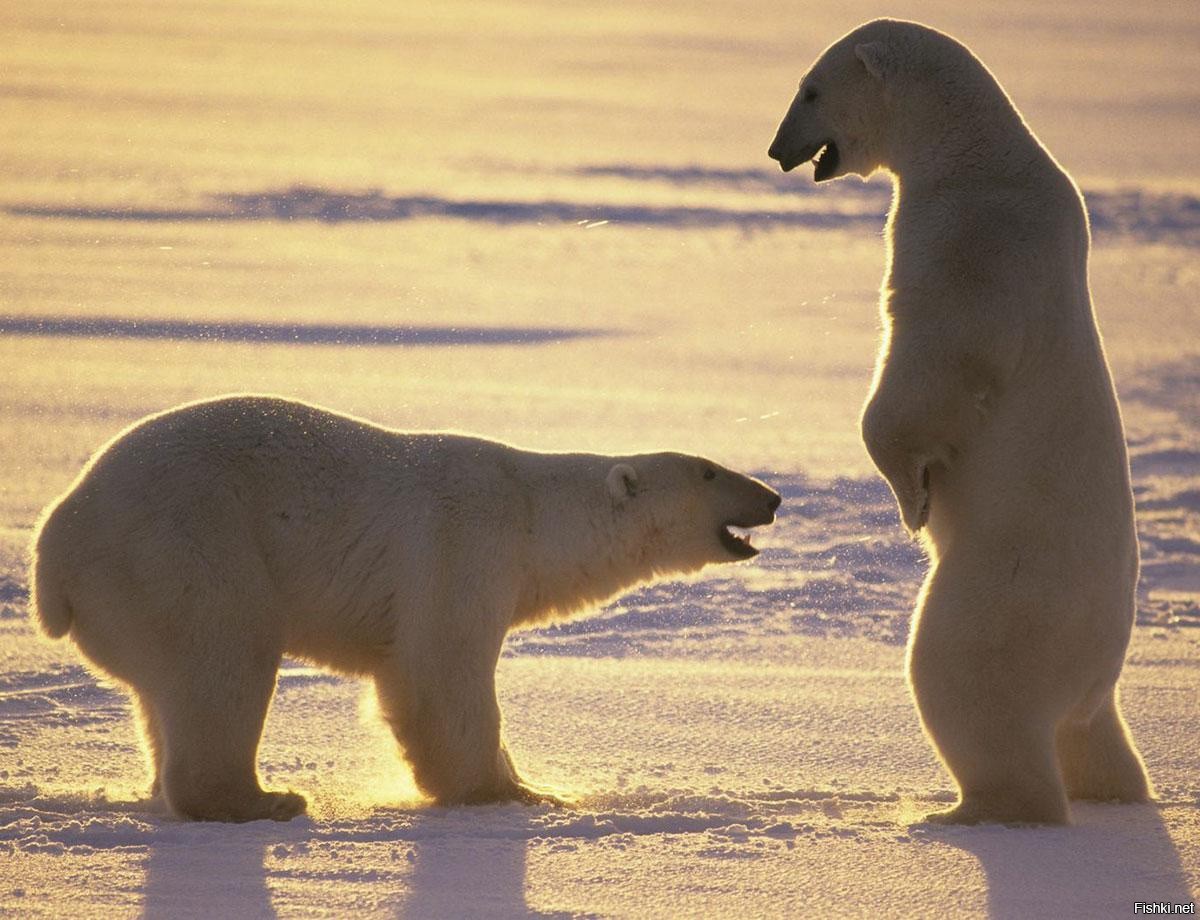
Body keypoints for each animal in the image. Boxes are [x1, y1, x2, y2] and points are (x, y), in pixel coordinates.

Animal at [30, 393, 777, 820]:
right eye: (709, 470)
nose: (771, 496)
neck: (535, 511)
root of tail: (54, 543)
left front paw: (524, 781)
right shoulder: (463, 546)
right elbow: (439, 674)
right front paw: (514, 793)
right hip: (183, 545)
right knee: (224, 656)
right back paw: (264, 799)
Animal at [768, 17, 1152, 825]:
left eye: (810, 90)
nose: (777, 149)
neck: (979, 153)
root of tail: (1092, 668)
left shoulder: (967, 239)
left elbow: (929, 363)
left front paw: (912, 501)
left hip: (1005, 596)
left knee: (960, 674)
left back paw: (960, 812)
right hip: (1092, 669)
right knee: (1092, 735)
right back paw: (1115, 791)